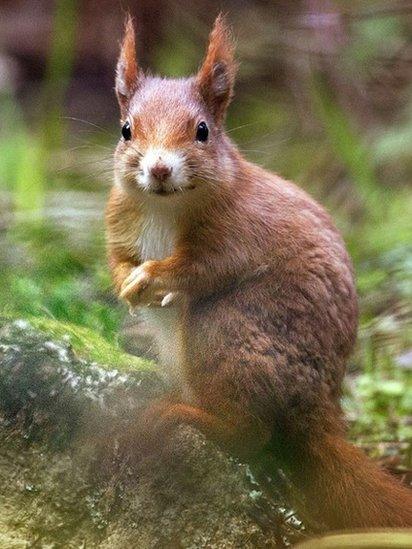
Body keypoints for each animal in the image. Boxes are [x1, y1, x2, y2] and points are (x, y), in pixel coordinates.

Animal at [106, 15, 412, 528]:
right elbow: (117, 259)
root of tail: (319, 410)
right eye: (126, 130)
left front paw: (153, 278)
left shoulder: (238, 229)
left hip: (225, 327)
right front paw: (126, 285)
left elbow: (203, 266)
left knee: (250, 434)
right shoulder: (121, 223)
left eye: (203, 131)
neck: (165, 209)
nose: (160, 169)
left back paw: (187, 416)